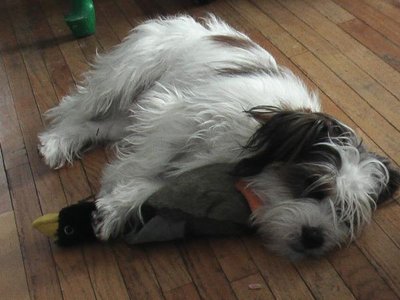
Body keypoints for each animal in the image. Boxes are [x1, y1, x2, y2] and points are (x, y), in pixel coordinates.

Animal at [36, 15, 396, 258]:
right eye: (309, 184)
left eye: (347, 215)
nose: (315, 237)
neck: (251, 142)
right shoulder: (174, 112)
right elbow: (148, 162)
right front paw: (111, 198)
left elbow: (164, 181)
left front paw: (121, 204)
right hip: (127, 74)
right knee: (75, 107)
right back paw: (56, 141)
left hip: (126, 114)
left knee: (98, 126)